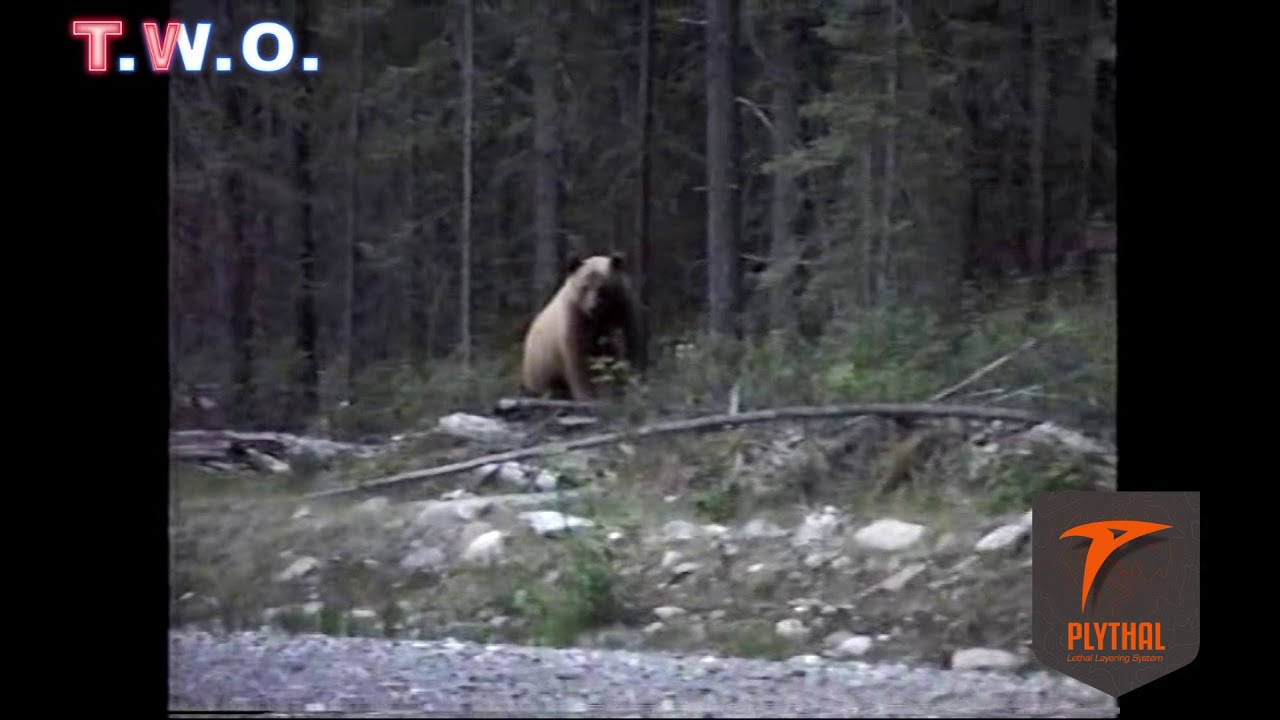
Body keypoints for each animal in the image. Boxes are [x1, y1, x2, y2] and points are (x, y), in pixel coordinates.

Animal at [520, 253, 645, 401]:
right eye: (584, 287)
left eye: (602, 288)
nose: (593, 307)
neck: (600, 317)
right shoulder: (576, 317)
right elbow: (579, 359)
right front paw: (587, 395)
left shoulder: (623, 309)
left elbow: (630, 346)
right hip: (541, 361)